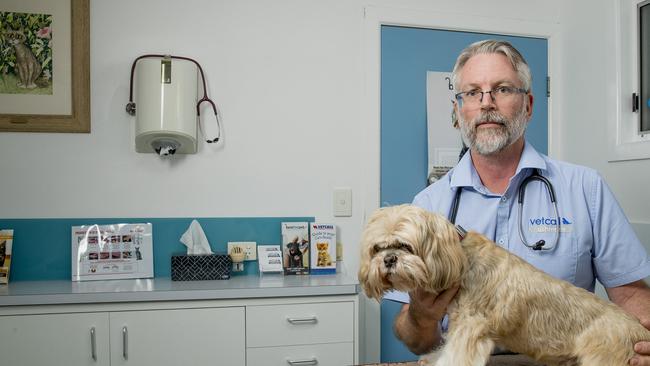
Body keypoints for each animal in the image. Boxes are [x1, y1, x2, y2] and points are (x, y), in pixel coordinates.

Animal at [360, 204, 648, 364]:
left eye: (405, 245)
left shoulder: (471, 326)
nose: (389, 259)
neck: (461, 258)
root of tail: (639, 331)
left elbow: (455, 356)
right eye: (378, 248)